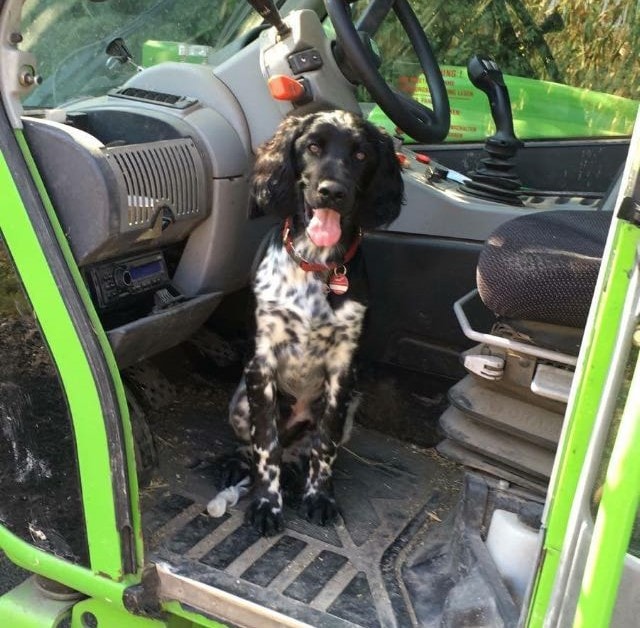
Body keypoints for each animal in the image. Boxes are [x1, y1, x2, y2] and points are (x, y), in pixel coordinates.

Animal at [225, 109, 403, 536]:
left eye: (360, 154)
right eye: (313, 147)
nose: (332, 191)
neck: (317, 264)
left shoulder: (342, 371)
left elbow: (325, 444)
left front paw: (319, 497)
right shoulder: (262, 363)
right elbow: (265, 444)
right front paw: (266, 504)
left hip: (351, 406)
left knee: (308, 449)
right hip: (238, 402)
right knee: (262, 446)